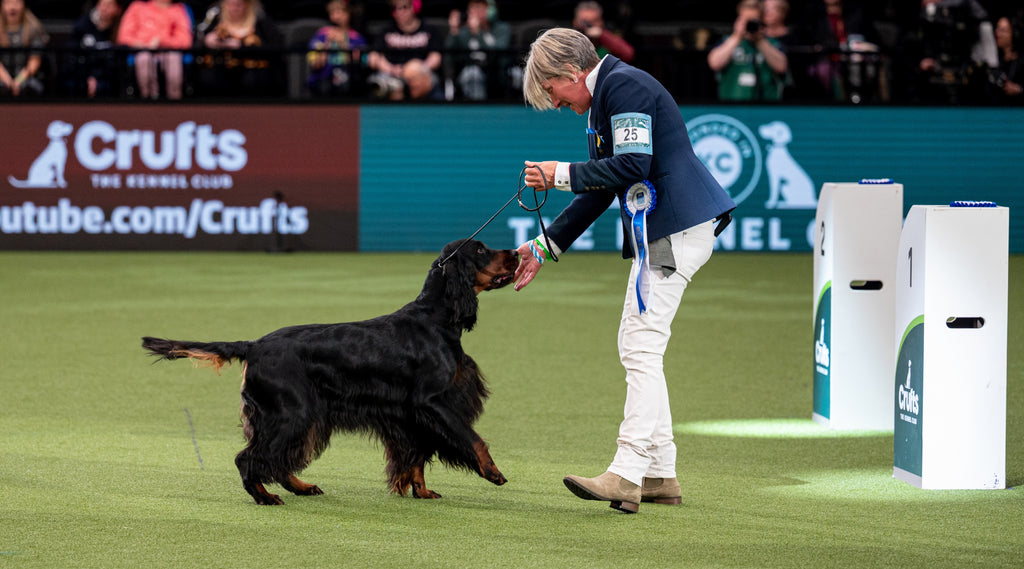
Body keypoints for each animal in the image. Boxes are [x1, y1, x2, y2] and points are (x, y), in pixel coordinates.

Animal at [142, 237, 520, 505]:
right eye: (481, 249)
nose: (517, 253)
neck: (435, 318)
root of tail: (254, 345)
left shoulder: (410, 414)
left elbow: (416, 454)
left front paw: (422, 491)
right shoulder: (433, 402)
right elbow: (473, 438)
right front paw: (493, 471)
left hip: (302, 417)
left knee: (279, 460)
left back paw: (301, 486)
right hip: (290, 413)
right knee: (248, 458)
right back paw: (265, 497)